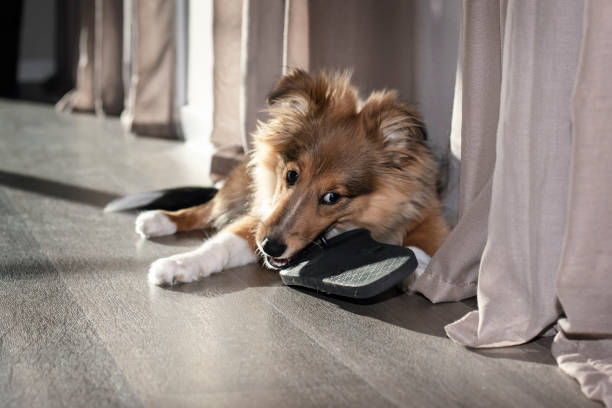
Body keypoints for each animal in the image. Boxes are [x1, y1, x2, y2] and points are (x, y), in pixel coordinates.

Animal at [135, 68, 450, 286]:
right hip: (243, 191)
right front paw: (178, 264)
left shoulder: (429, 216)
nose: (269, 246)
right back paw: (157, 219)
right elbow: (220, 243)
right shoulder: (261, 217)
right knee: (209, 207)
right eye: (291, 175)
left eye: (333, 197)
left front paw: (420, 265)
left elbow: (424, 243)